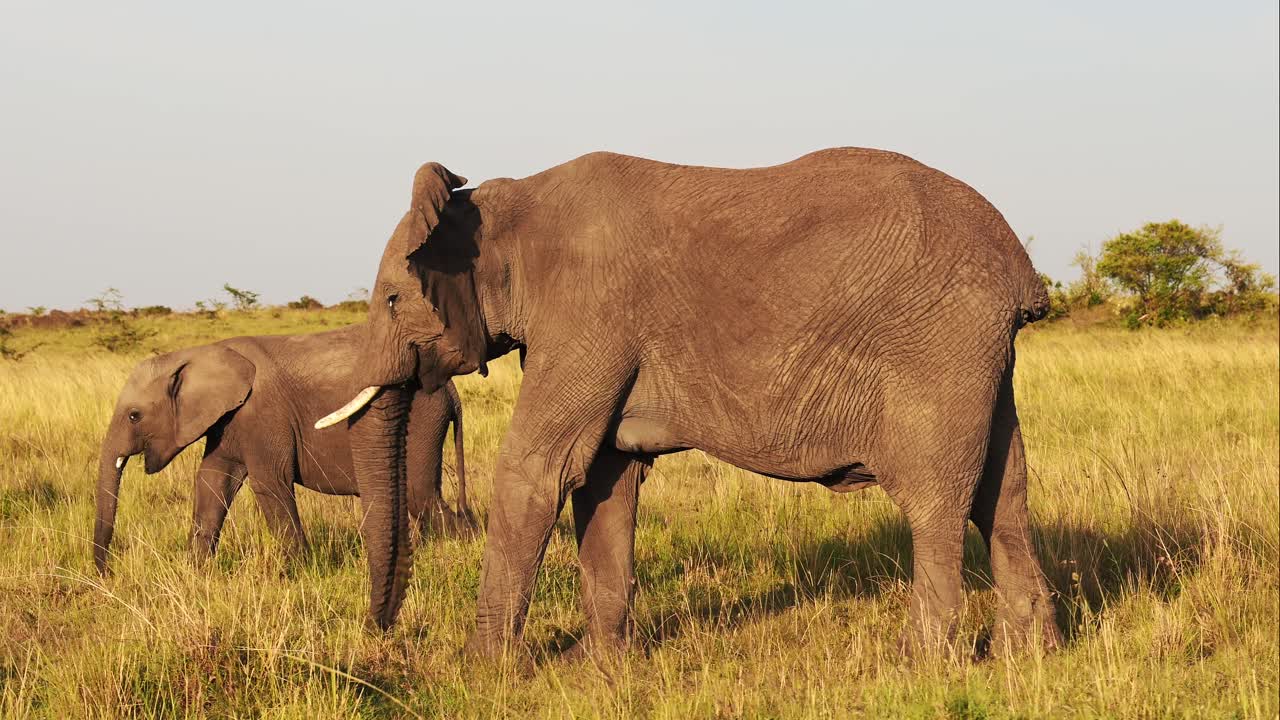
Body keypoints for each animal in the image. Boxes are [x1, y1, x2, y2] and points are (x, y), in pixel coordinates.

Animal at [93, 323, 475, 575]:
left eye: (134, 415)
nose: (105, 574)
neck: (198, 353)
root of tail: (452, 391)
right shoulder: (229, 419)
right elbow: (212, 481)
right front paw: (195, 573)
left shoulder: (263, 413)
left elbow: (269, 483)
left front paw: (296, 575)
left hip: (420, 420)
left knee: (419, 495)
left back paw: (461, 548)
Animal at [318, 147, 1062, 659]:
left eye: (392, 300)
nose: (381, 634)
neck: (511, 200)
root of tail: (1019, 270)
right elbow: (606, 478)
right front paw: (599, 667)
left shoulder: (588, 313)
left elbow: (539, 471)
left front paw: (481, 671)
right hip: (978, 358)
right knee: (1004, 494)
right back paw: (1029, 656)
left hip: (936, 347)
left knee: (936, 499)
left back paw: (920, 663)